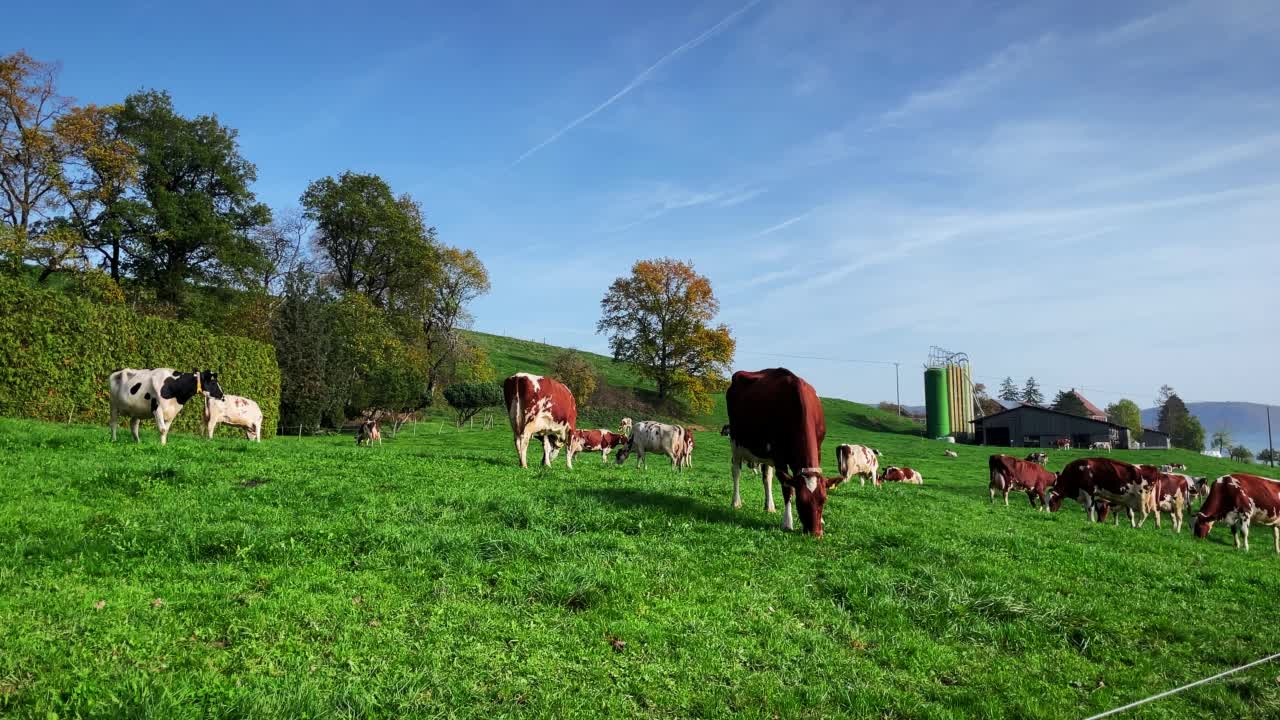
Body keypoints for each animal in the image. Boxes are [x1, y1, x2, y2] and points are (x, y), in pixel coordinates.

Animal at [727, 366, 844, 535]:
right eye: (801, 501)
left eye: (824, 500)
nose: (816, 533)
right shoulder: (779, 454)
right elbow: (788, 488)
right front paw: (787, 522)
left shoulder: (818, 448)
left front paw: (822, 520)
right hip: (736, 441)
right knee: (736, 471)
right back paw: (736, 502)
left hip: (765, 452)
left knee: (767, 477)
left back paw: (769, 506)